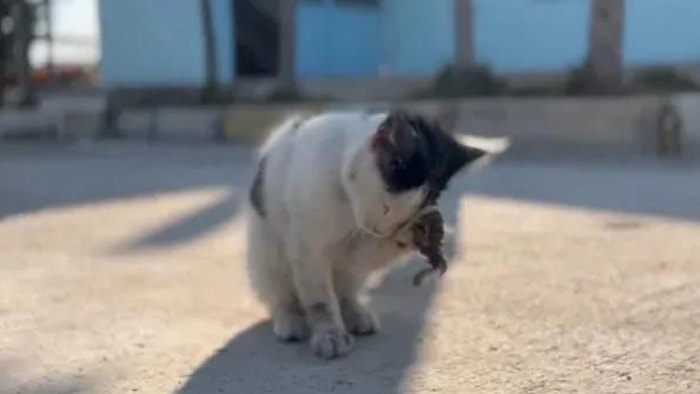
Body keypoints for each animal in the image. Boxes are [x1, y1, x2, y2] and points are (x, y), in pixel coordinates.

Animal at [243, 108, 506, 360]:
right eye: (385, 206)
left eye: (404, 218)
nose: (378, 230)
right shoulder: (307, 248)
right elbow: (319, 299)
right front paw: (329, 334)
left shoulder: (356, 246)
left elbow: (367, 254)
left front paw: (423, 233)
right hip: (268, 253)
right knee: (280, 292)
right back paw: (290, 320)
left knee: (345, 289)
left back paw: (355, 313)